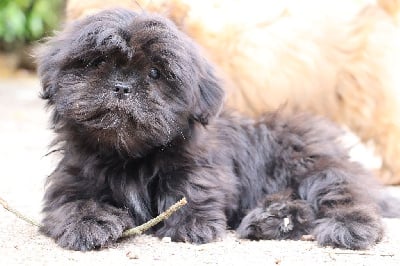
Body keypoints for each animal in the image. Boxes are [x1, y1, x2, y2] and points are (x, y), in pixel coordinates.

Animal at [36, 9, 388, 251]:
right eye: (96, 63)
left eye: (155, 73)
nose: (122, 86)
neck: (130, 155)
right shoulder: (73, 177)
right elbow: (73, 202)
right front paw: (88, 223)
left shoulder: (201, 167)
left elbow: (193, 188)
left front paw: (191, 224)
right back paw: (274, 220)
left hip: (312, 166)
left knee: (342, 194)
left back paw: (348, 228)